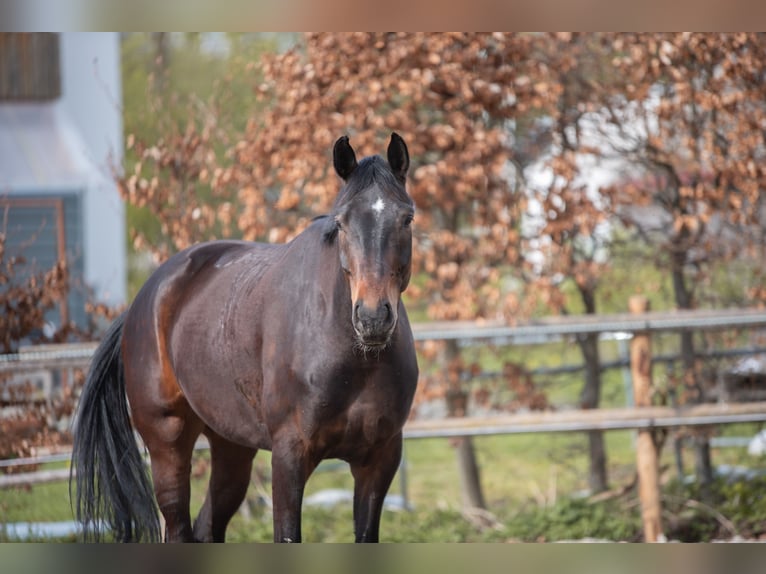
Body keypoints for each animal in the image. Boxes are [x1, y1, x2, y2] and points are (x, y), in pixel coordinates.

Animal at [71, 135, 420, 544]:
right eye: (341, 222)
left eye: (406, 218)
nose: (372, 317)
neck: (354, 361)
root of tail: (145, 297)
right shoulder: (289, 456)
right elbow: (287, 534)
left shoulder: (379, 460)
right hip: (167, 443)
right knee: (178, 523)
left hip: (231, 447)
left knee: (208, 524)